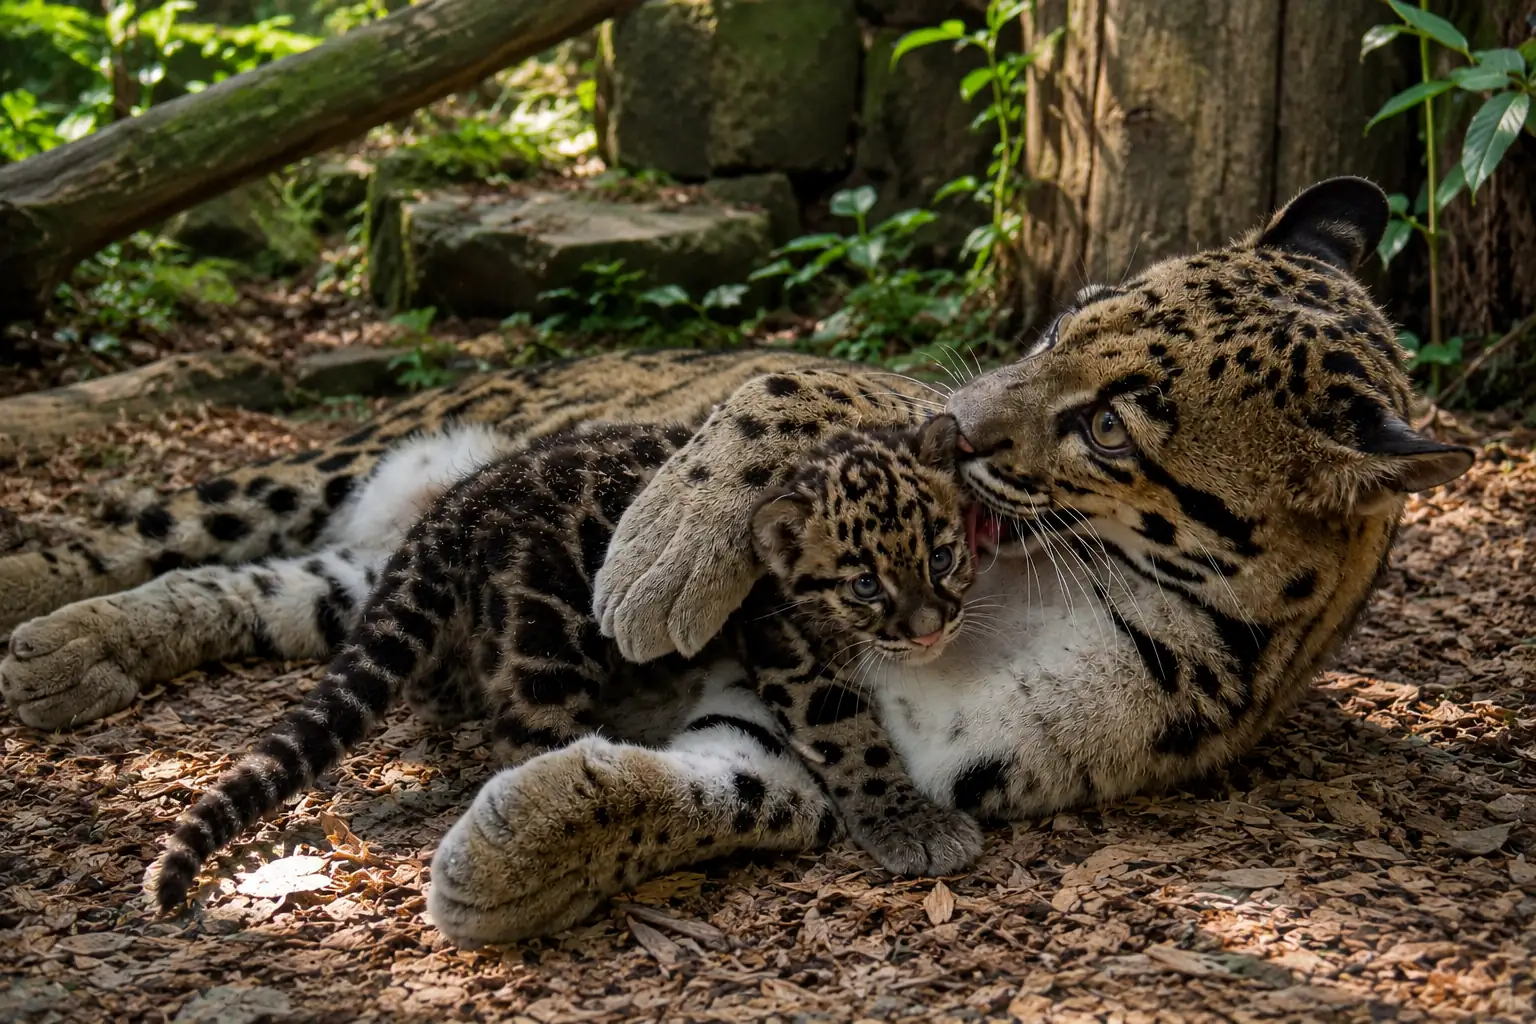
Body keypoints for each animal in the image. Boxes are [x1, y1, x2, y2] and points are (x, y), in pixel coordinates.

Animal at [149, 415, 983, 912]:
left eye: (942, 556)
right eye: (865, 585)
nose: (930, 630)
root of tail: (457, 503)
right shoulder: (784, 648)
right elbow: (851, 738)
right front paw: (910, 824)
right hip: (545, 634)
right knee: (523, 742)